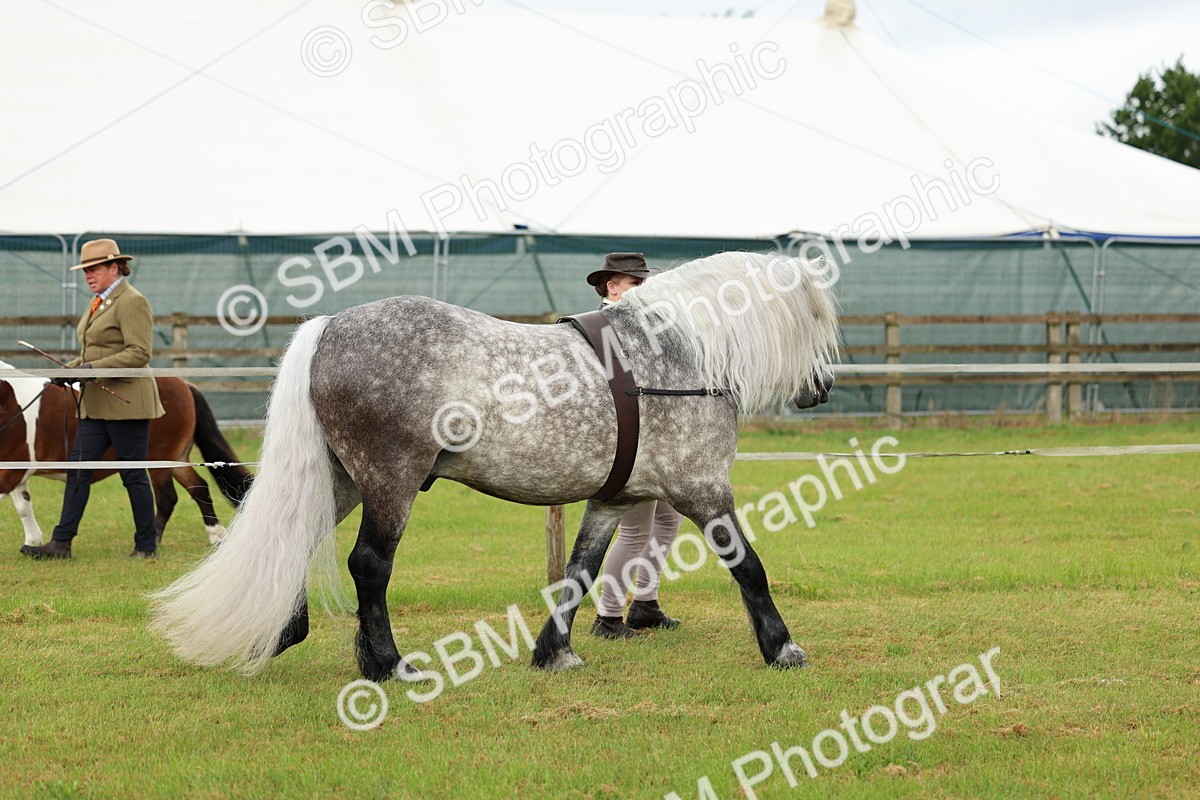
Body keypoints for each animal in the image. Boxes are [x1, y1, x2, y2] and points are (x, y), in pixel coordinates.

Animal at [0, 363, 253, 547]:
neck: (10, 403)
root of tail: (184, 385)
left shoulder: (12, 472)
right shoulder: (15, 472)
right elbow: (23, 506)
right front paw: (33, 541)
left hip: (159, 459)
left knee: (167, 497)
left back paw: (154, 540)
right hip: (176, 457)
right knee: (198, 488)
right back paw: (216, 535)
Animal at [149, 251, 839, 680]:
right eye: (817, 317)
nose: (823, 387)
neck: (671, 355)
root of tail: (330, 328)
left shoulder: (612, 500)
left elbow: (580, 572)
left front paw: (554, 653)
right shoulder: (703, 490)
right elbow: (749, 567)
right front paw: (782, 647)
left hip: (342, 479)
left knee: (294, 541)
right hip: (391, 483)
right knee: (369, 566)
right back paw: (389, 665)